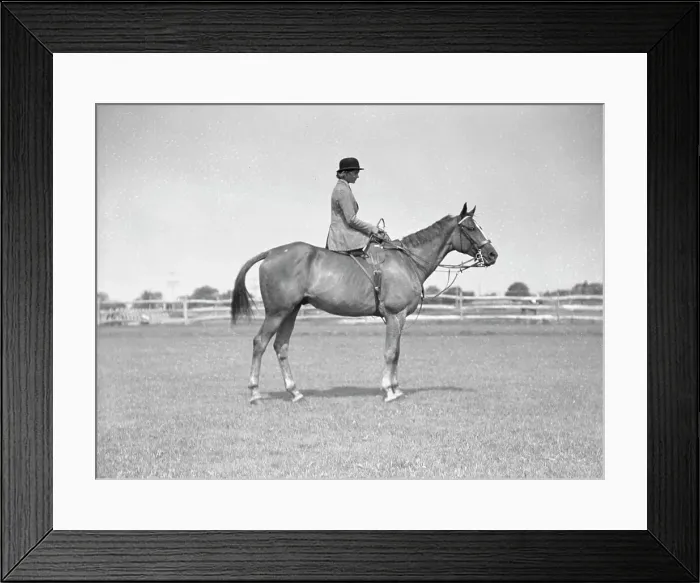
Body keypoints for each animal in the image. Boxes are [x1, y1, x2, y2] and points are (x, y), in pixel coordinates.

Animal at [230, 202, 498, 403]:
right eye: (471, 228)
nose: (493, 254)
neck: (407, 261)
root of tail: (272, 253)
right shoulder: (394, 315)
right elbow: (390, 352)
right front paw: (389, 391)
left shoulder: (399, 318)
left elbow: (397, 352)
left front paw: (396, 388)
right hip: (277, 312)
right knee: (260, 343)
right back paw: (255, 393)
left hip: (291, 311)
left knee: (281, 346)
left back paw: (295, 392)